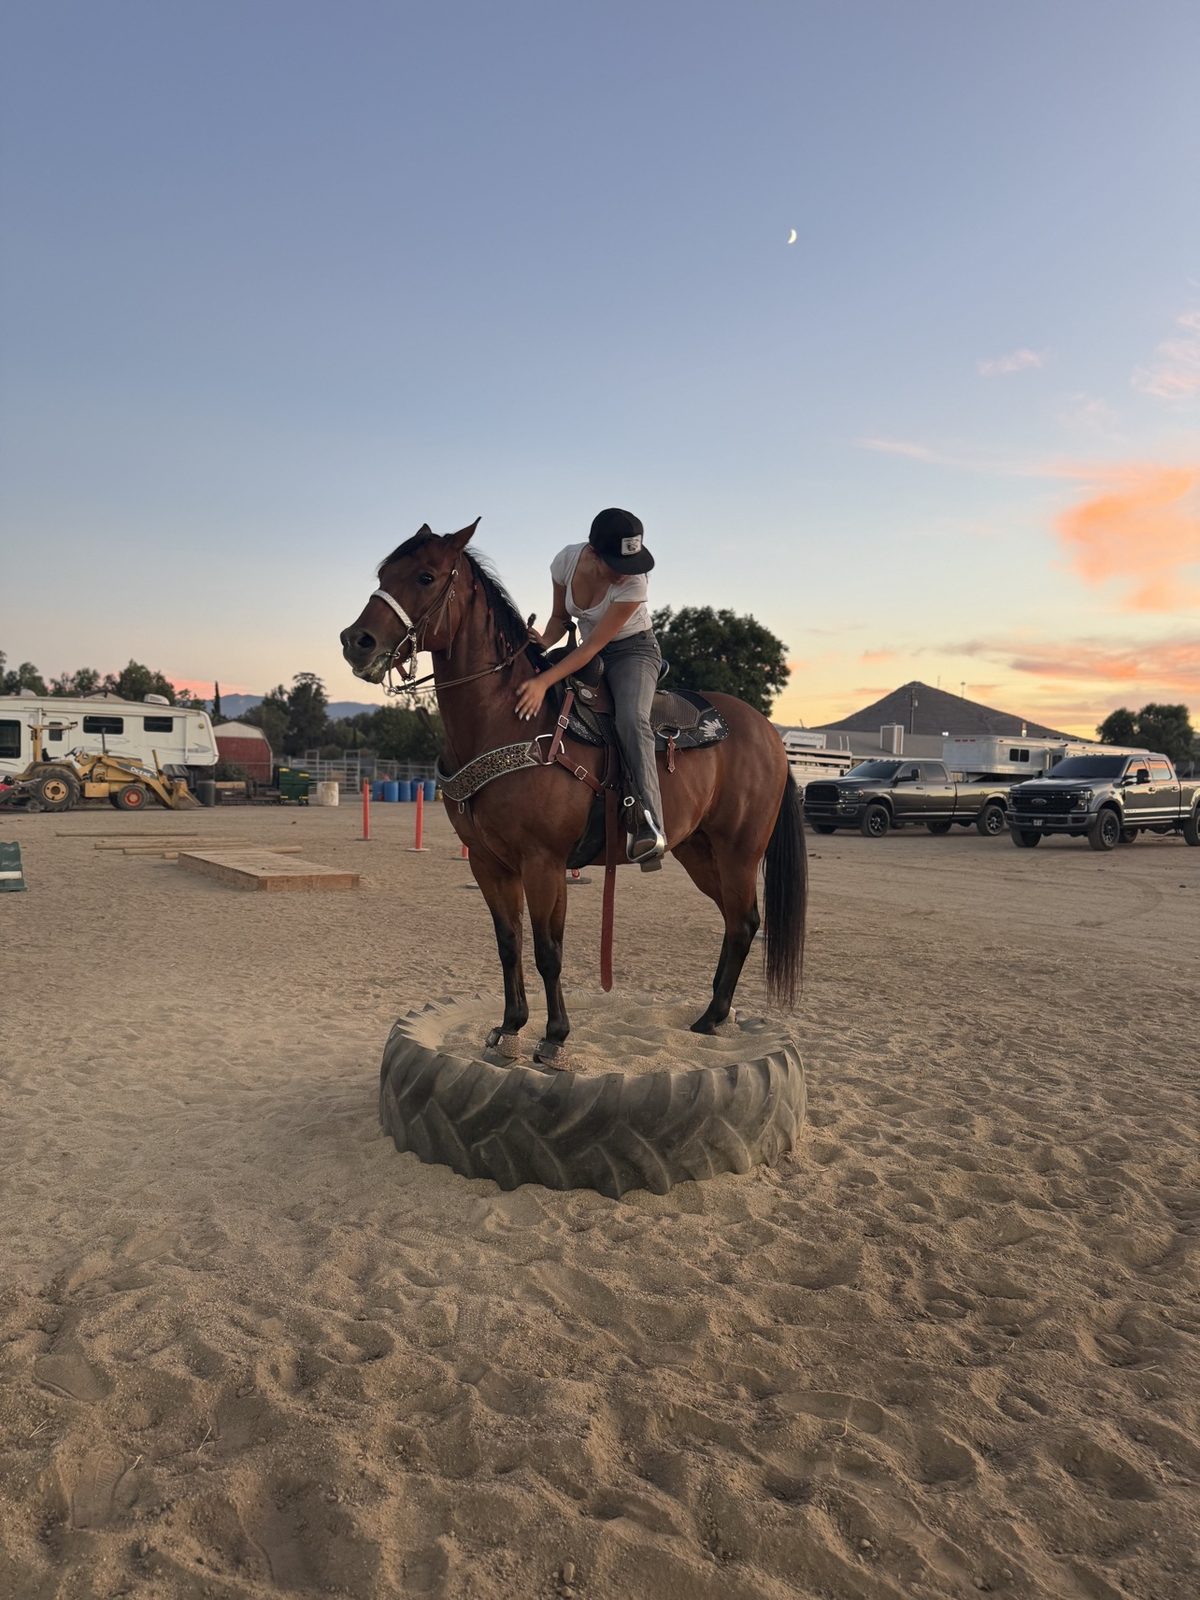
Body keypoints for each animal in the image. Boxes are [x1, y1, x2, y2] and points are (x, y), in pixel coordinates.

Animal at [340, 520, 807, 1065]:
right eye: (383, 574)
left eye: (426, 576)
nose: (356, 641)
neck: (505, 718)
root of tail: (769, 732)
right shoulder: (489, 863)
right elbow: (509, 943)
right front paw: (510, 1028)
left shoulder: (543, 862)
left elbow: (548, 951)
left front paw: (555, 1037)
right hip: (698, 851)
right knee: (737, 921)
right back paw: (715, 1014)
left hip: (738, 850)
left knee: (745, 920)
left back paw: (712, 1017)